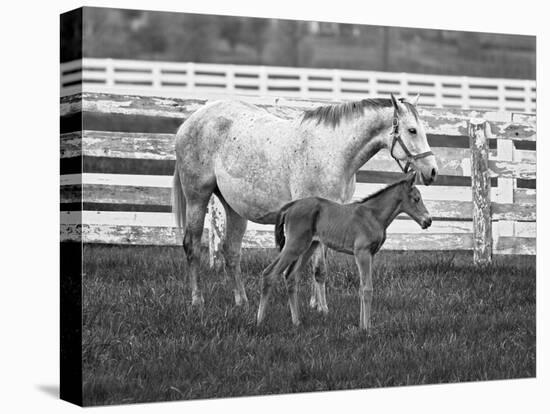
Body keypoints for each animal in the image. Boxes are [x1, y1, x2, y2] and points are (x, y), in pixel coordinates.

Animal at [172, 92, 440, 308]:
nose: (432, 171)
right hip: (197, 197)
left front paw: (315, 304)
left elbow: (318, 266)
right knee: (192, 246)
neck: (334, 151)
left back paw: (242, 301)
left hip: (234, 208)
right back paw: (197, 300)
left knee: (231, 252)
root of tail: (190, 121)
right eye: (412, 130)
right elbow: (317, 267)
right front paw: (322, 308)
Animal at [256, 173, 434, 332]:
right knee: (269, 273)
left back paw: (297, 322)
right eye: (416, 199)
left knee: (291, 276)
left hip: (308, 246)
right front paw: (367, 329)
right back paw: (259, 321)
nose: (428, 221)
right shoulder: (362, 253)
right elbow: (367, 288)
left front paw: (362, 325)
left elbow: (362, 287)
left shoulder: (370, 254)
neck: (373, 216)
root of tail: (291, 206)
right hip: (295, 245)